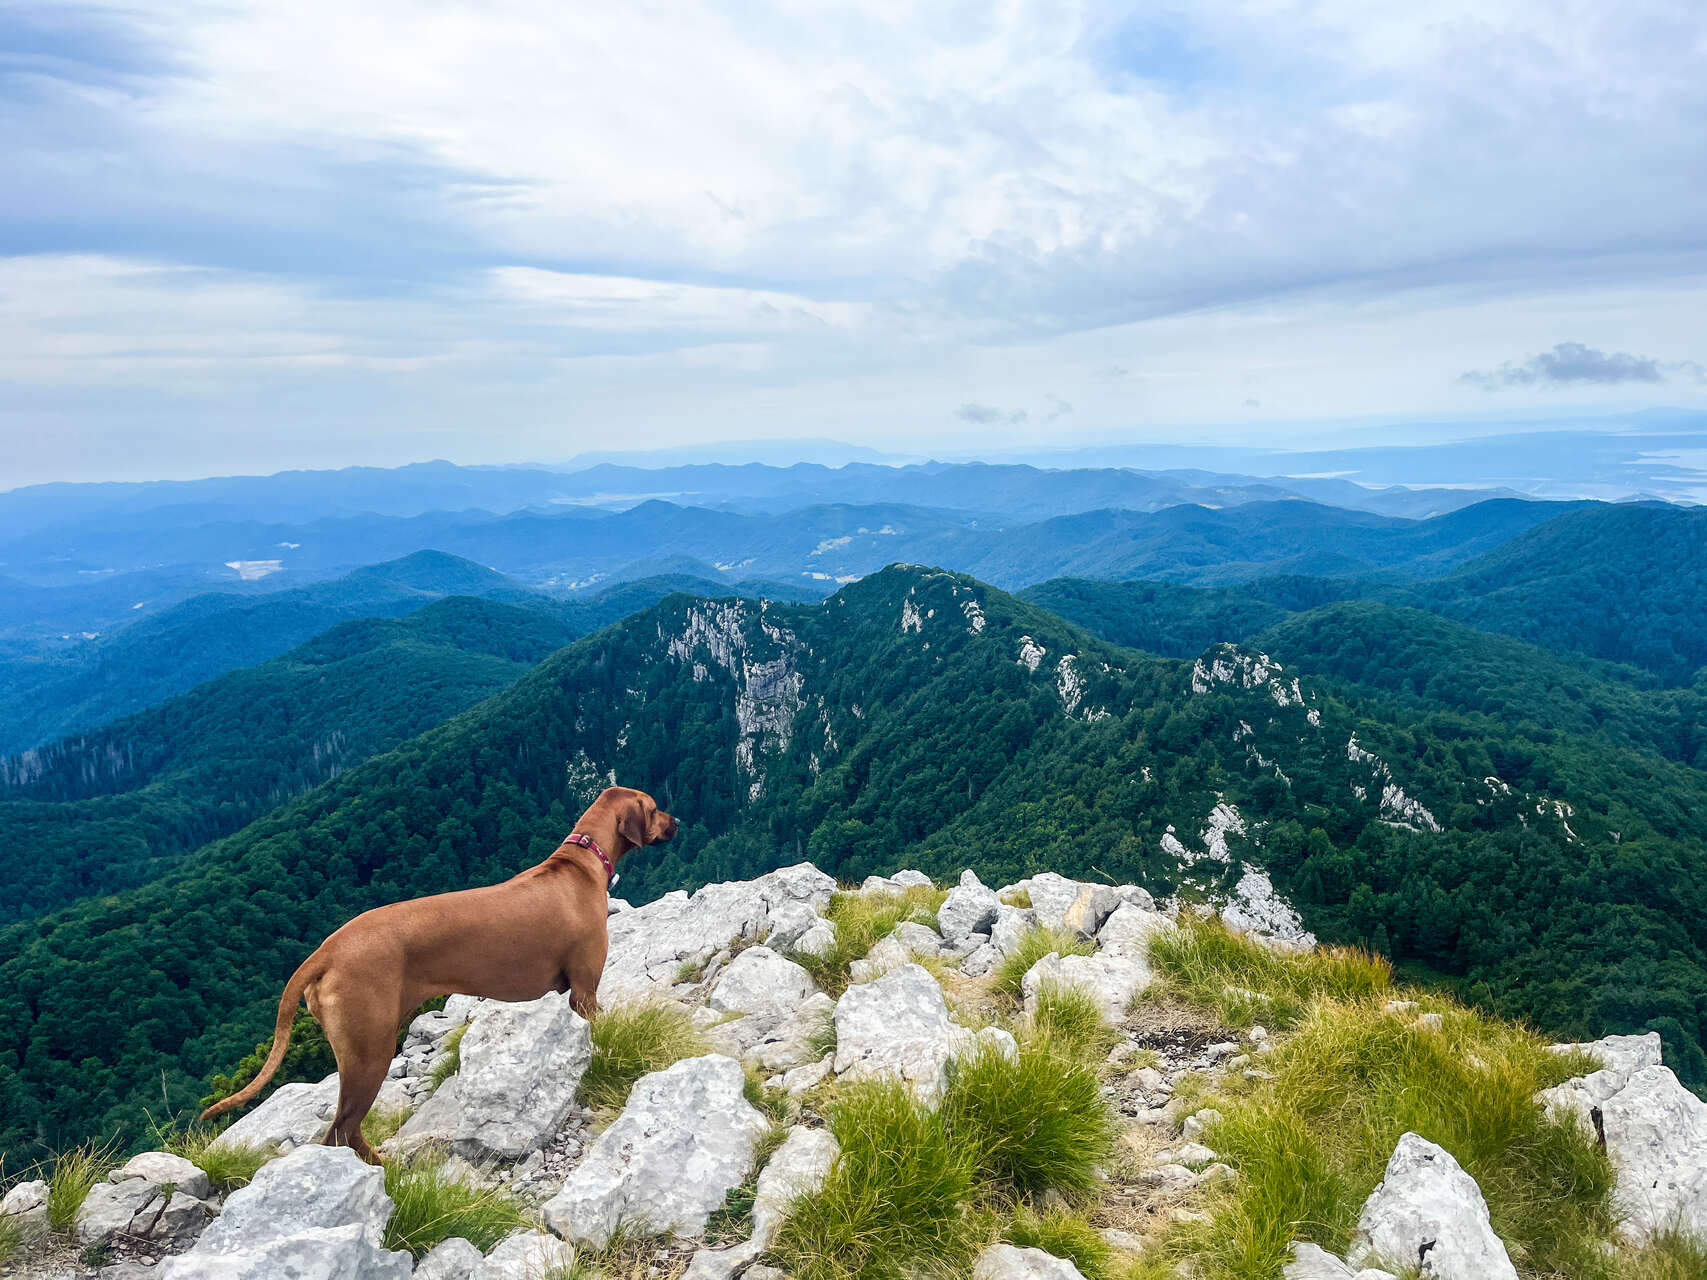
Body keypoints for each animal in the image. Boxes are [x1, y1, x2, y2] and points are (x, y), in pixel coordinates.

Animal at [201, 788, 679, 1167]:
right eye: (656, 807)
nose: (679, 821)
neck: (580, 862)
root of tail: (326, 950)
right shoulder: (583, 990)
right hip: (369, 1052)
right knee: (341, 1131)